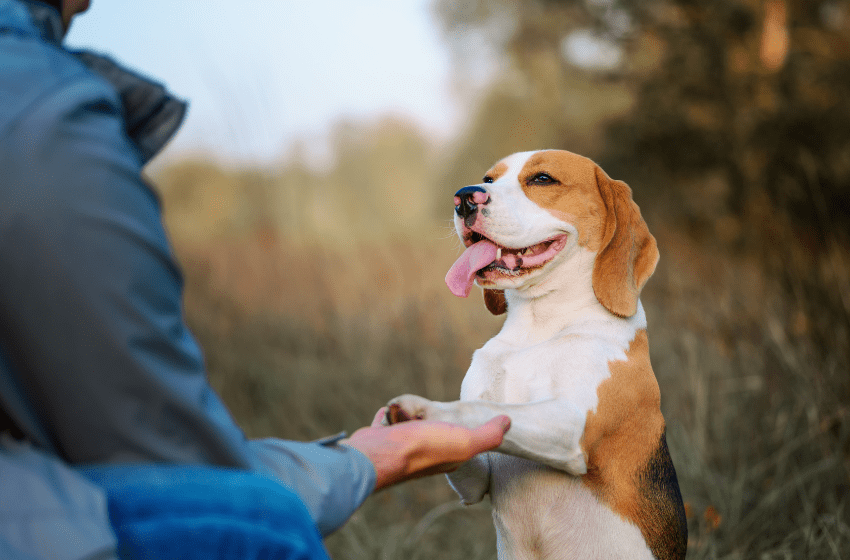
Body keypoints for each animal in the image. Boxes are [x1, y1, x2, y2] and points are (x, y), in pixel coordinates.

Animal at [388, 150, 684, 560]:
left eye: (542, 179)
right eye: (489, 179)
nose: (463, 198)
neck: (539, 326)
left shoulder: (571, 425)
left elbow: (483, 408)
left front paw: (425, 409)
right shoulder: (477, 479)